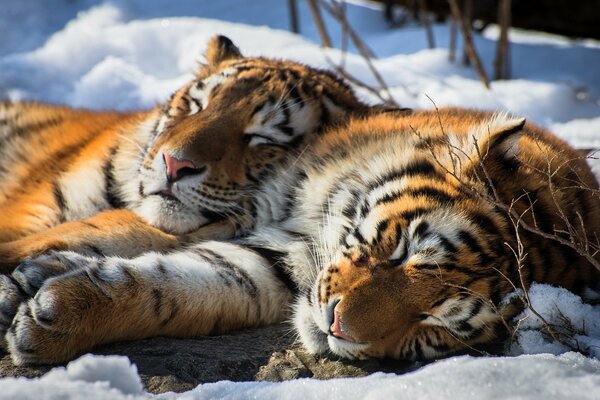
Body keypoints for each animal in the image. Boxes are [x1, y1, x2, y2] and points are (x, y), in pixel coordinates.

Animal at [2, 97, 596, 366]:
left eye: (435, 327)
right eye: (403, 250)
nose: (336, 327)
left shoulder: (270, 268)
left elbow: (172, 288)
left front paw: (52, 318)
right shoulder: (242, 212)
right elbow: (110, 232)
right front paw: (28, 275)